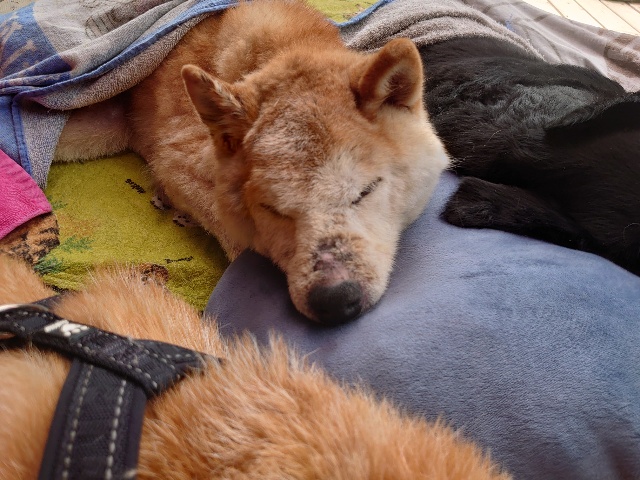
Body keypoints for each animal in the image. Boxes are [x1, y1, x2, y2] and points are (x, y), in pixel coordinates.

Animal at [54, 0, 449, 323]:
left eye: (366, 191)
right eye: (272, 209)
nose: (335, 301)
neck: (281, 47)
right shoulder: (174, 157)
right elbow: (233, 231)